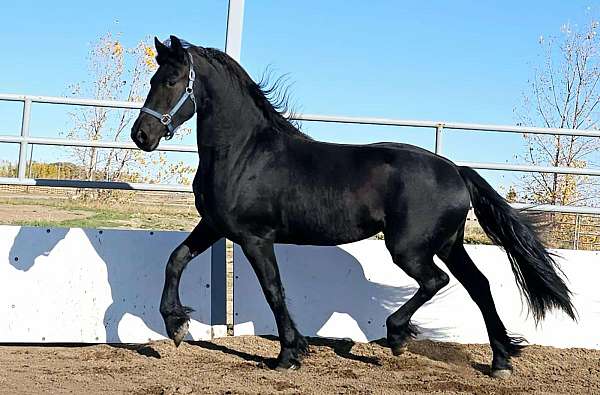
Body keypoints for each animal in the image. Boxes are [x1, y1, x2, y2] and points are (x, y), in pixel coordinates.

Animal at [132, 37, 576, 380]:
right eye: (153, 79)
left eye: (171, 80)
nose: (142, 135)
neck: (245, 153)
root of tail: (456, 170)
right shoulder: (214, 225)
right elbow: (175, 259)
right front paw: (175, 324)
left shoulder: (254, 238)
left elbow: (274, 290)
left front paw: (288, 355)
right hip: (448, 243)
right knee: (479, 285)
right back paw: (500, 360)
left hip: (409, 248)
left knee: (436, 282)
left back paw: (397, 336)